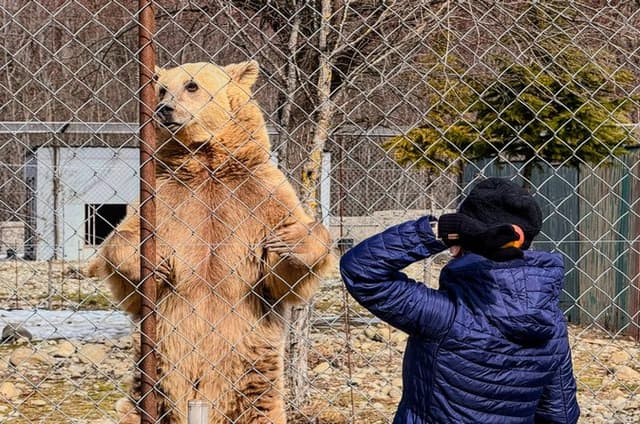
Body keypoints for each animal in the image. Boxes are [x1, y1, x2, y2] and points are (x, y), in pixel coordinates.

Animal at [87, 60, 333, 423]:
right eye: (162, 88)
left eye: (191, 85)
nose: (164, 109)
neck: (207, 164)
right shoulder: (162, 197)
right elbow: (126, 248)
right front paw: (154, 262)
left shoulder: (259, 196)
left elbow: (280, 274)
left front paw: (292, 242)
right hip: (148, 381)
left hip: (254, 379)